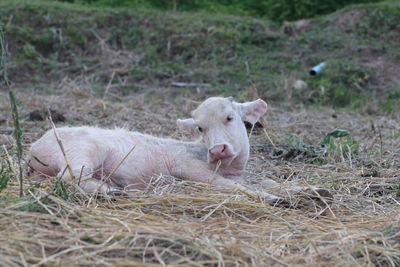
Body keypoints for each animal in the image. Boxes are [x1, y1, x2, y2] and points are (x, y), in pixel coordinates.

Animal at [27, 97, 284, 204]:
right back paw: (111, 192)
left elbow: (268, 181)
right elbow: (229, 186)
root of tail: (34, 148)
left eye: (230, 117)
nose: (217, 149)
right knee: (69, 177)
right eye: (201, 128)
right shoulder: (188, 166)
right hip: (81, 152)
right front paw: (274, 199)